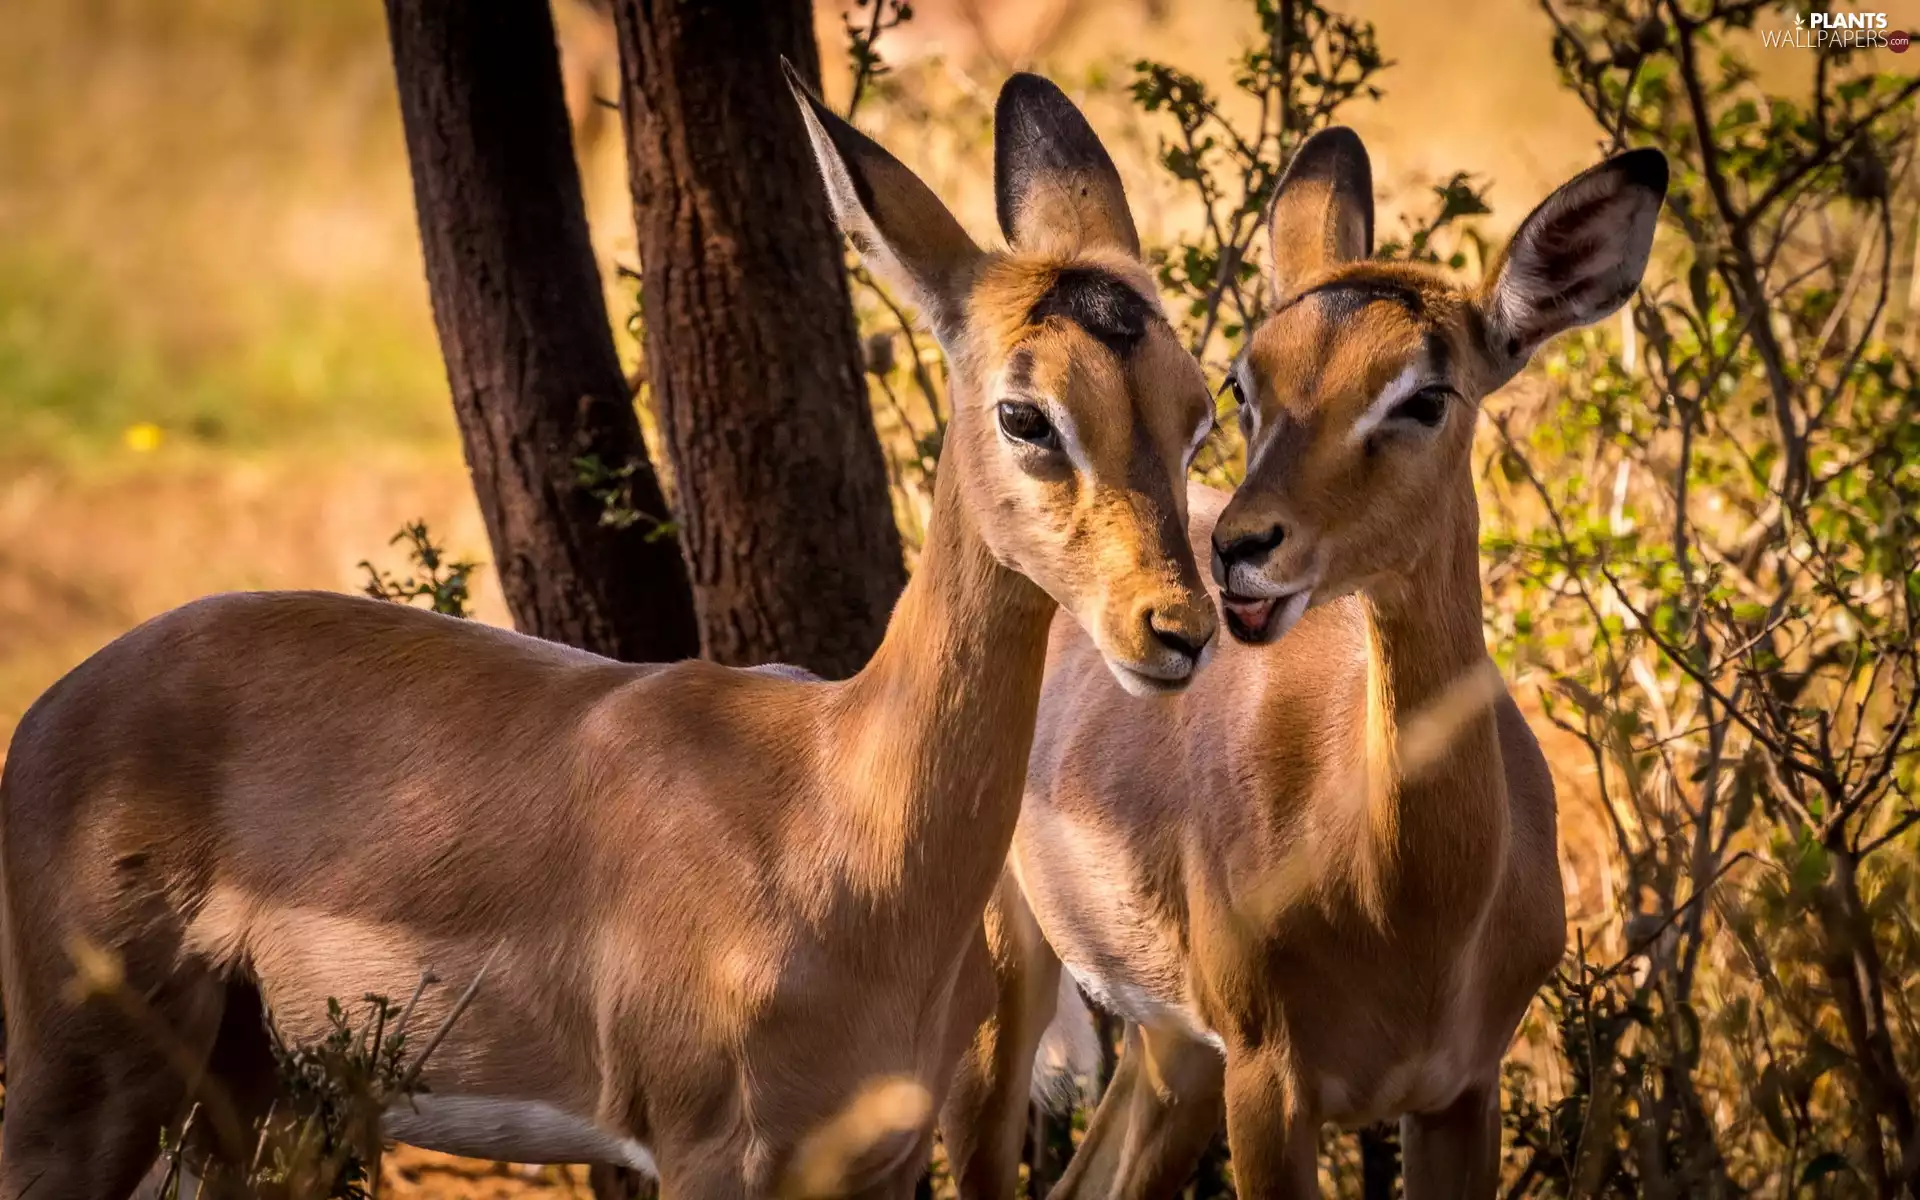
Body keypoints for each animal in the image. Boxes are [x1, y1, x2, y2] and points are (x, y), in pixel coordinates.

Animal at [0, 67, 1221, 1200]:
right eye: (1024, 413)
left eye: (1199, 406)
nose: (1178, 628)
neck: (834, 809)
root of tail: (62, 703)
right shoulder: (707, 1156)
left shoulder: (876, 1162)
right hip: (84, 1089)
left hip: (254, 1105)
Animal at [937, 128, 1667, 1198]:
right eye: (1244, 385)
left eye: (1426, 395)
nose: (1239, 548)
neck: (1413, 909)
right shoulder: (1271, 1089)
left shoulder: (1460, 1092)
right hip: (1015, 1002)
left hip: (1176, 1053)